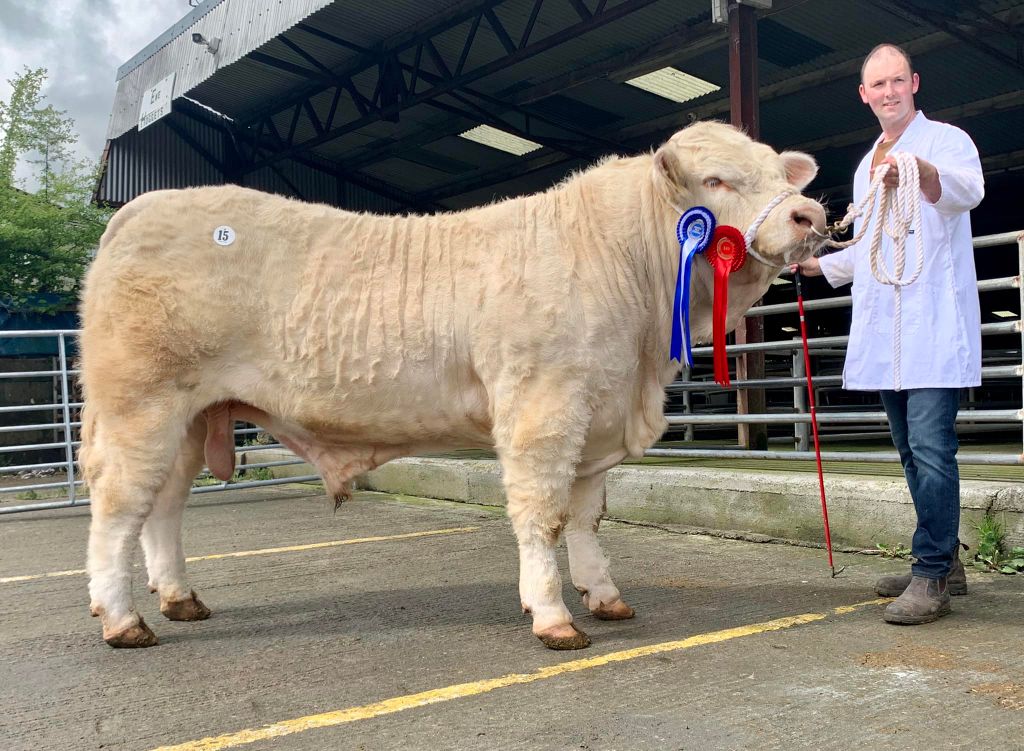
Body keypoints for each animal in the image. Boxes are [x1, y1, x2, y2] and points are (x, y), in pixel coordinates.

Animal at [79, 121, 826, 650]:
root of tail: (136, 211)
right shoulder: (543, 407)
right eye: (717, 179)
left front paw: (604, 594)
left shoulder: (598, 412)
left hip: (189, 414)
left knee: (164, 505)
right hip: (141, 403)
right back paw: (123, 620)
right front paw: (552, 614)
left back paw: (179, 598)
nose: (811, 215)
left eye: (776, 171)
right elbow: (542, 512)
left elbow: (586, 514)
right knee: (119, 505)